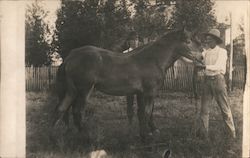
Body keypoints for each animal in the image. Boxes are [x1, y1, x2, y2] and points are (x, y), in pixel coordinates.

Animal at [53, 28, 204, 141]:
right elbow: (147, 112)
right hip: (84, 90)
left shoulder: (141, 93)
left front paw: (146, 133)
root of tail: (70, 57)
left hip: (72, 91)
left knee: (61, 109)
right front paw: (146, 136)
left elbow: (142, 113)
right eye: (188, 41)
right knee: (77, 112)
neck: (153, 59)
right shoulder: (150, 92)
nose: (202, 57)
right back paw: (86, 136)